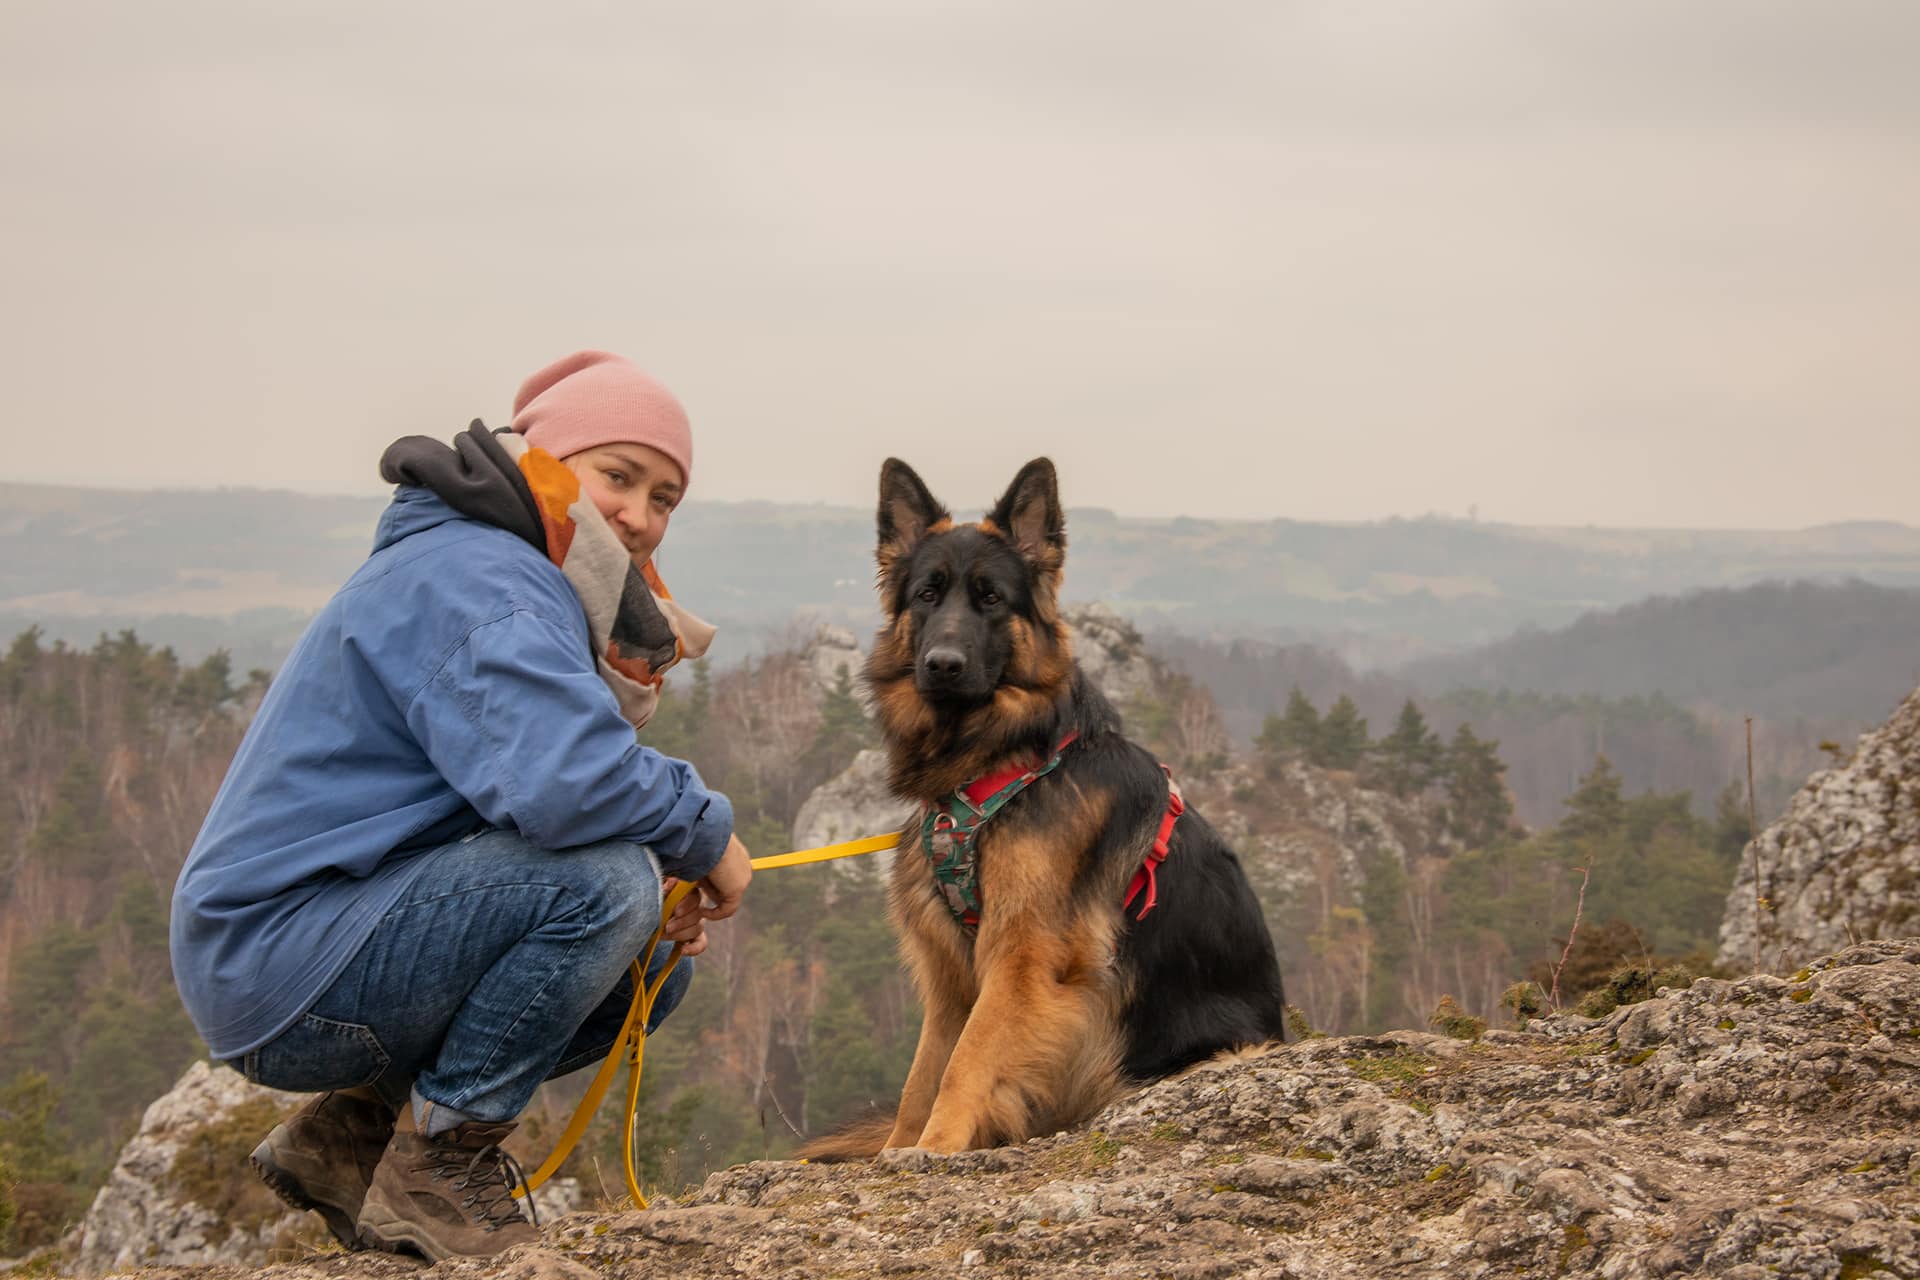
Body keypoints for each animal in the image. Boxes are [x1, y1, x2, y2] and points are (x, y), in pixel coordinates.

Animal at [798, 460, 1290, 1159]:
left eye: (992, 599)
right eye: (927, 595)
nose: (941, 665)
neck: (1001, 764)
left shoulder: (1021, 958)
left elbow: (966, 1063)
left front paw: (937, 1147)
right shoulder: (951, 977)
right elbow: (923, 1075)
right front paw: (901, 1149)